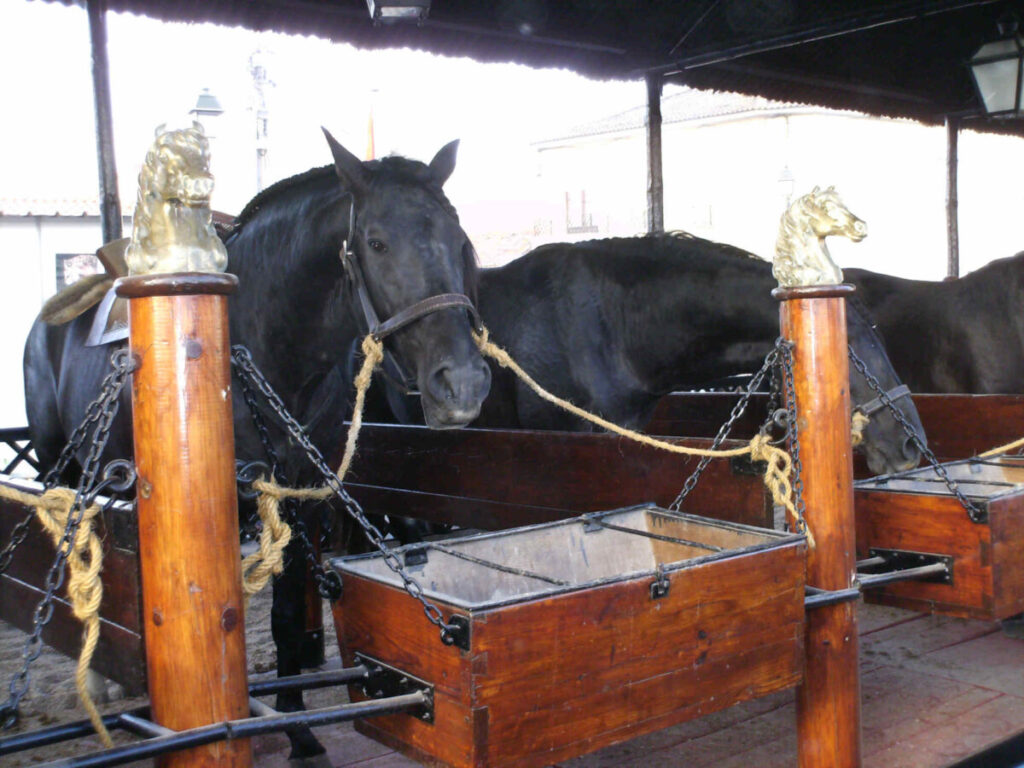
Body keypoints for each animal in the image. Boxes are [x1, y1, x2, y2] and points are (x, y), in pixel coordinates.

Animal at [22, 128, 490, 764]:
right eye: (376, 242)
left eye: (459, 240)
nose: (462, 384)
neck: (259, 345)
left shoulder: (301, 501)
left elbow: (288, 617)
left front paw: (296, 726)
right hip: (63, 470)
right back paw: (95, 680)